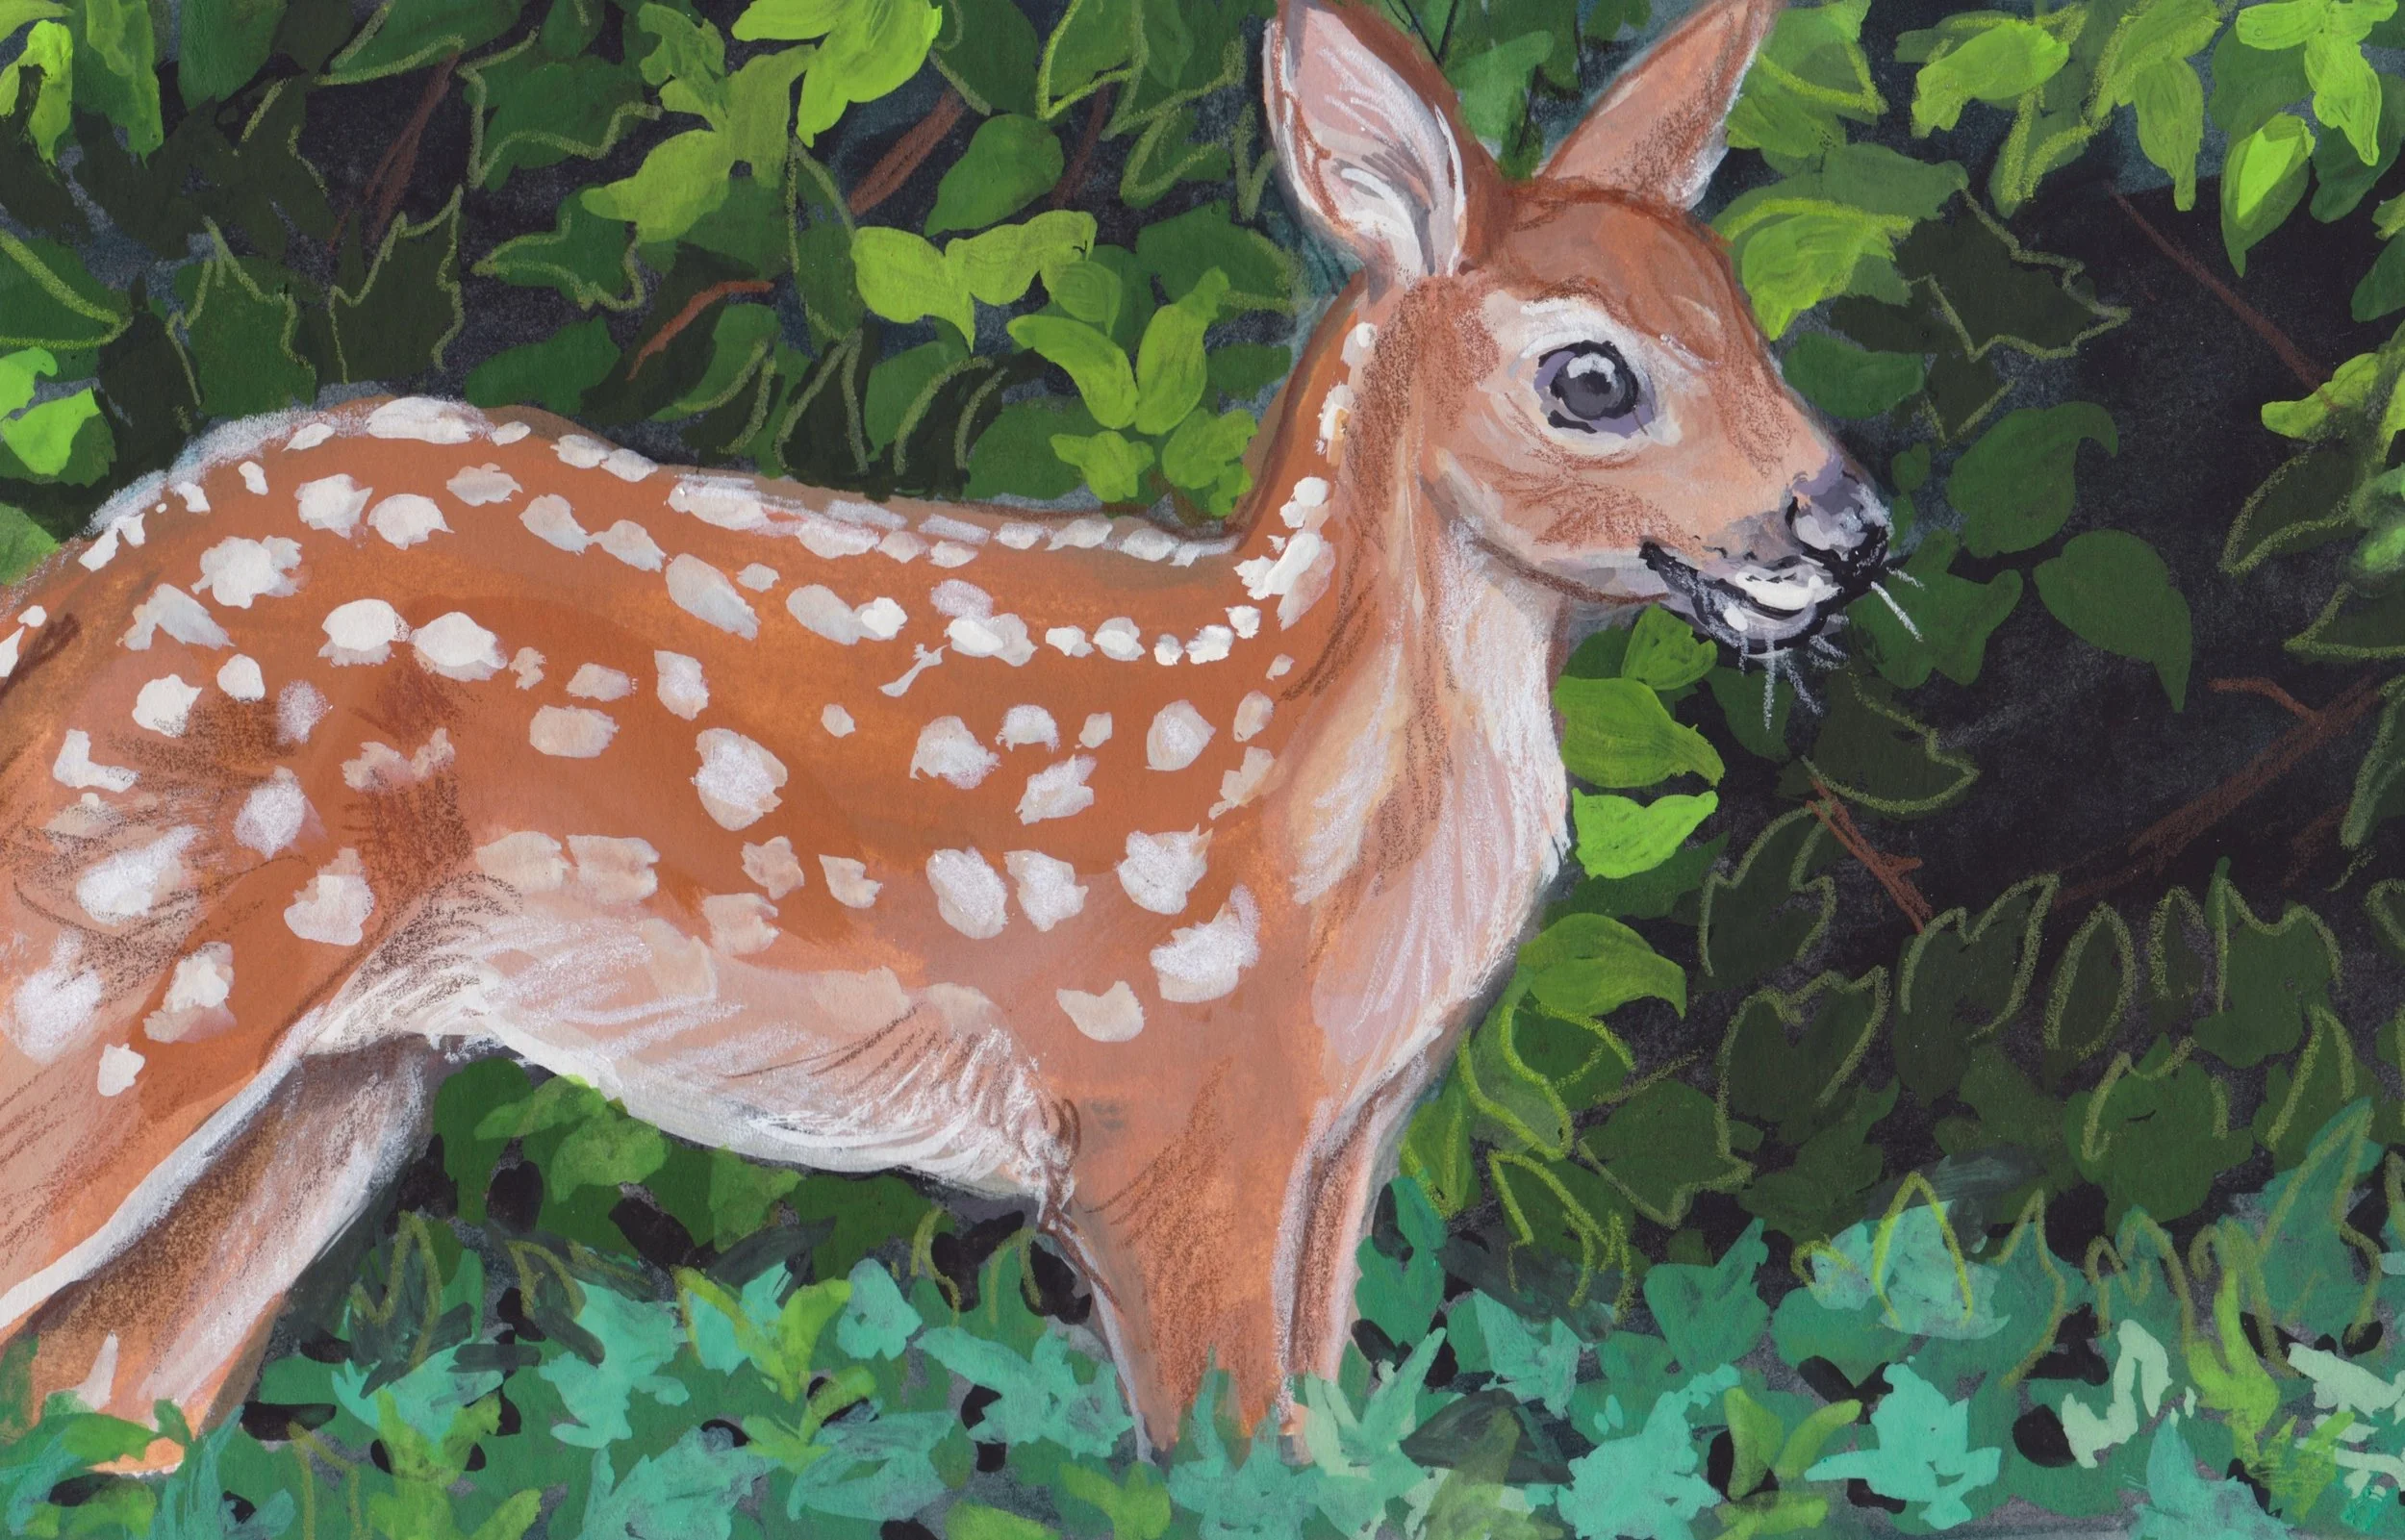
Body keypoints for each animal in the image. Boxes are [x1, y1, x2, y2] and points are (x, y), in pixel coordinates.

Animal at [0, 0, 1889, 1470]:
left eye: (1750, 319)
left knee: (112, 1390)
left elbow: (1332, 1444)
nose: (1853, 522)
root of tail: (62, 593)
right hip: (113, 980)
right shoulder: (1163, 1121)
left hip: (339, 1080)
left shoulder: (1347, 1140)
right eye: (1593, 378)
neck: (1316, 805)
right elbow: (1233, 1460)